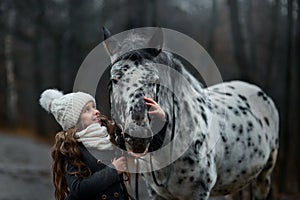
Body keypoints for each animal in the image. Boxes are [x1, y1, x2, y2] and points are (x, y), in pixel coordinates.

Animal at [103, 28, 278, 200]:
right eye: (114, 80)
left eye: (155, 80)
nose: (138, 136)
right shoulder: (156, 194)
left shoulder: (199, 193)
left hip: (264, 177)